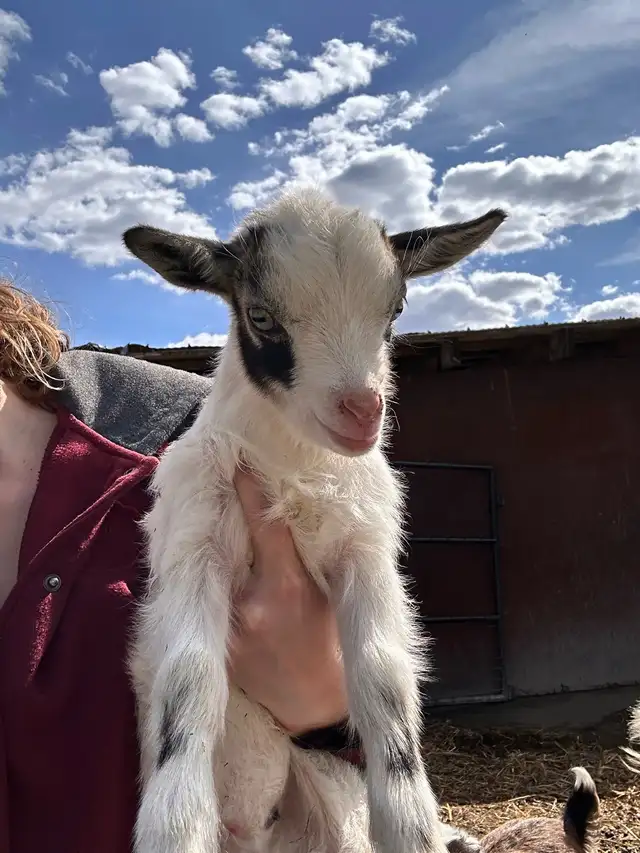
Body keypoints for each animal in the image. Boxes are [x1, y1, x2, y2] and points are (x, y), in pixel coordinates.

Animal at [123, 186, 507, 853]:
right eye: (260, 316)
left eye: (396, 308)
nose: (362, 410)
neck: (291, 468)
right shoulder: (196, 544)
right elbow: (189, 677)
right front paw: (174, 826)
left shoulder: (365, 551)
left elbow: (382, 678)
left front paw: (413, 827)